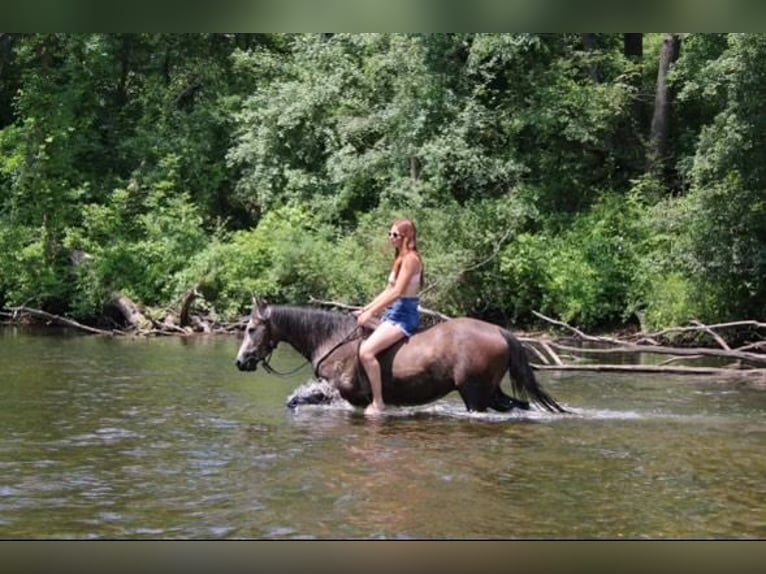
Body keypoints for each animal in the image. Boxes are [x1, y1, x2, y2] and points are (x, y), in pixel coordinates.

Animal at [235, 301, 568, 414]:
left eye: (251, 328)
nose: (240, 362)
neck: (332, 340)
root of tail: (499, 331)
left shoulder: (343, 393)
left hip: (474, 393)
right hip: (491, 391)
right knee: (519, 406)